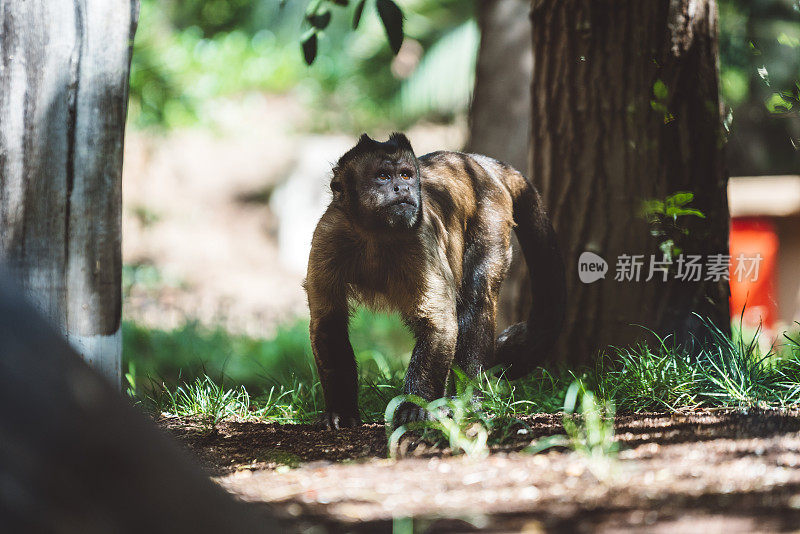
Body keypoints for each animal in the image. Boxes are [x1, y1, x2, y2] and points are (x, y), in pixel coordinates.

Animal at [304, 134, 564, 432]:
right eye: (383, 176)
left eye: (405, 174)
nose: (402, 188)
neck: (374, 234)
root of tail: (475, 162)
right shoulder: (328, 235)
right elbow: (328, 322)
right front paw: (340, 410)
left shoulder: (419, 237)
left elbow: (439, 323)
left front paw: (415, 406)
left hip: (491, 211)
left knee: (477, 295)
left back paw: (467, 400)